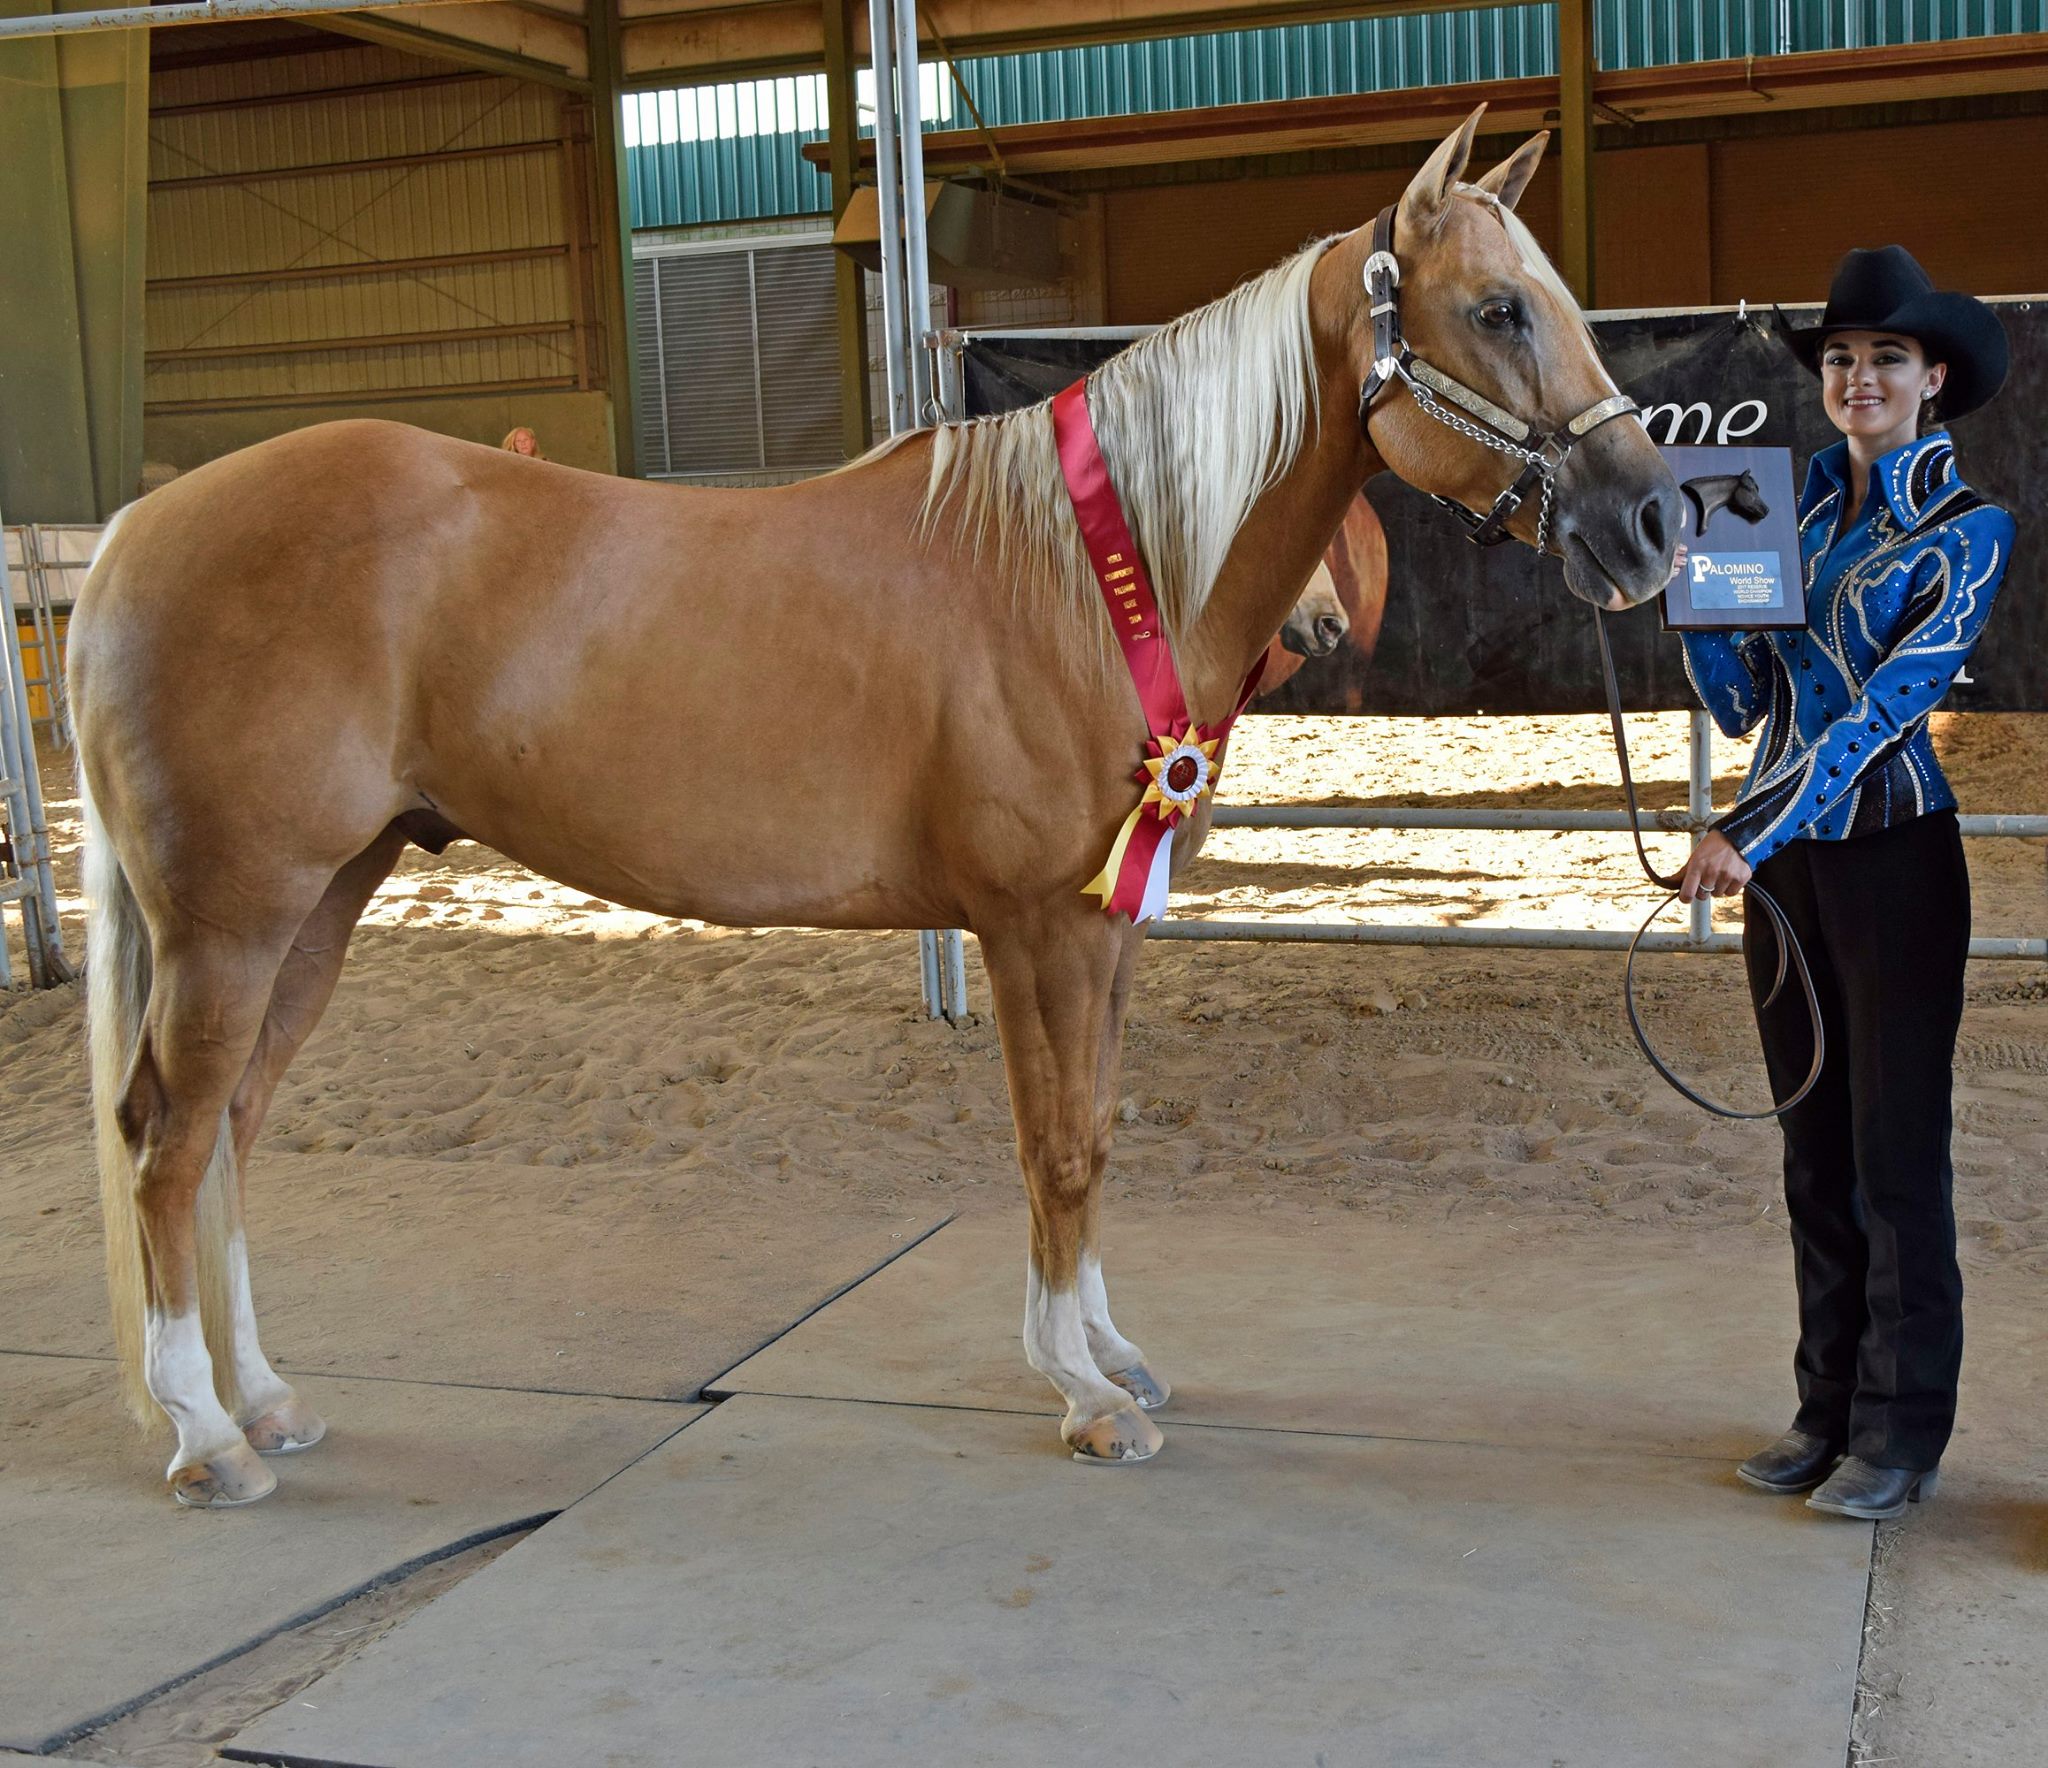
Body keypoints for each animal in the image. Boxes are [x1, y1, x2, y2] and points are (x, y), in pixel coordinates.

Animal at [75, 107, 1679, 1507]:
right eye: (1498, 310)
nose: (1655, 519)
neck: (1084, 573)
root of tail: (137, 527)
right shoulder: (1034, 928)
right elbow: (1056, 1145)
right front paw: (1082, 1397)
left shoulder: (1106, 926)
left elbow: (1097, 1124)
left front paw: (1110, 1357)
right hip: (234, 921)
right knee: (169, 1139)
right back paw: (203, 1437)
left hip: (325, 898)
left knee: (232, 1128)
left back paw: (264, 1402)